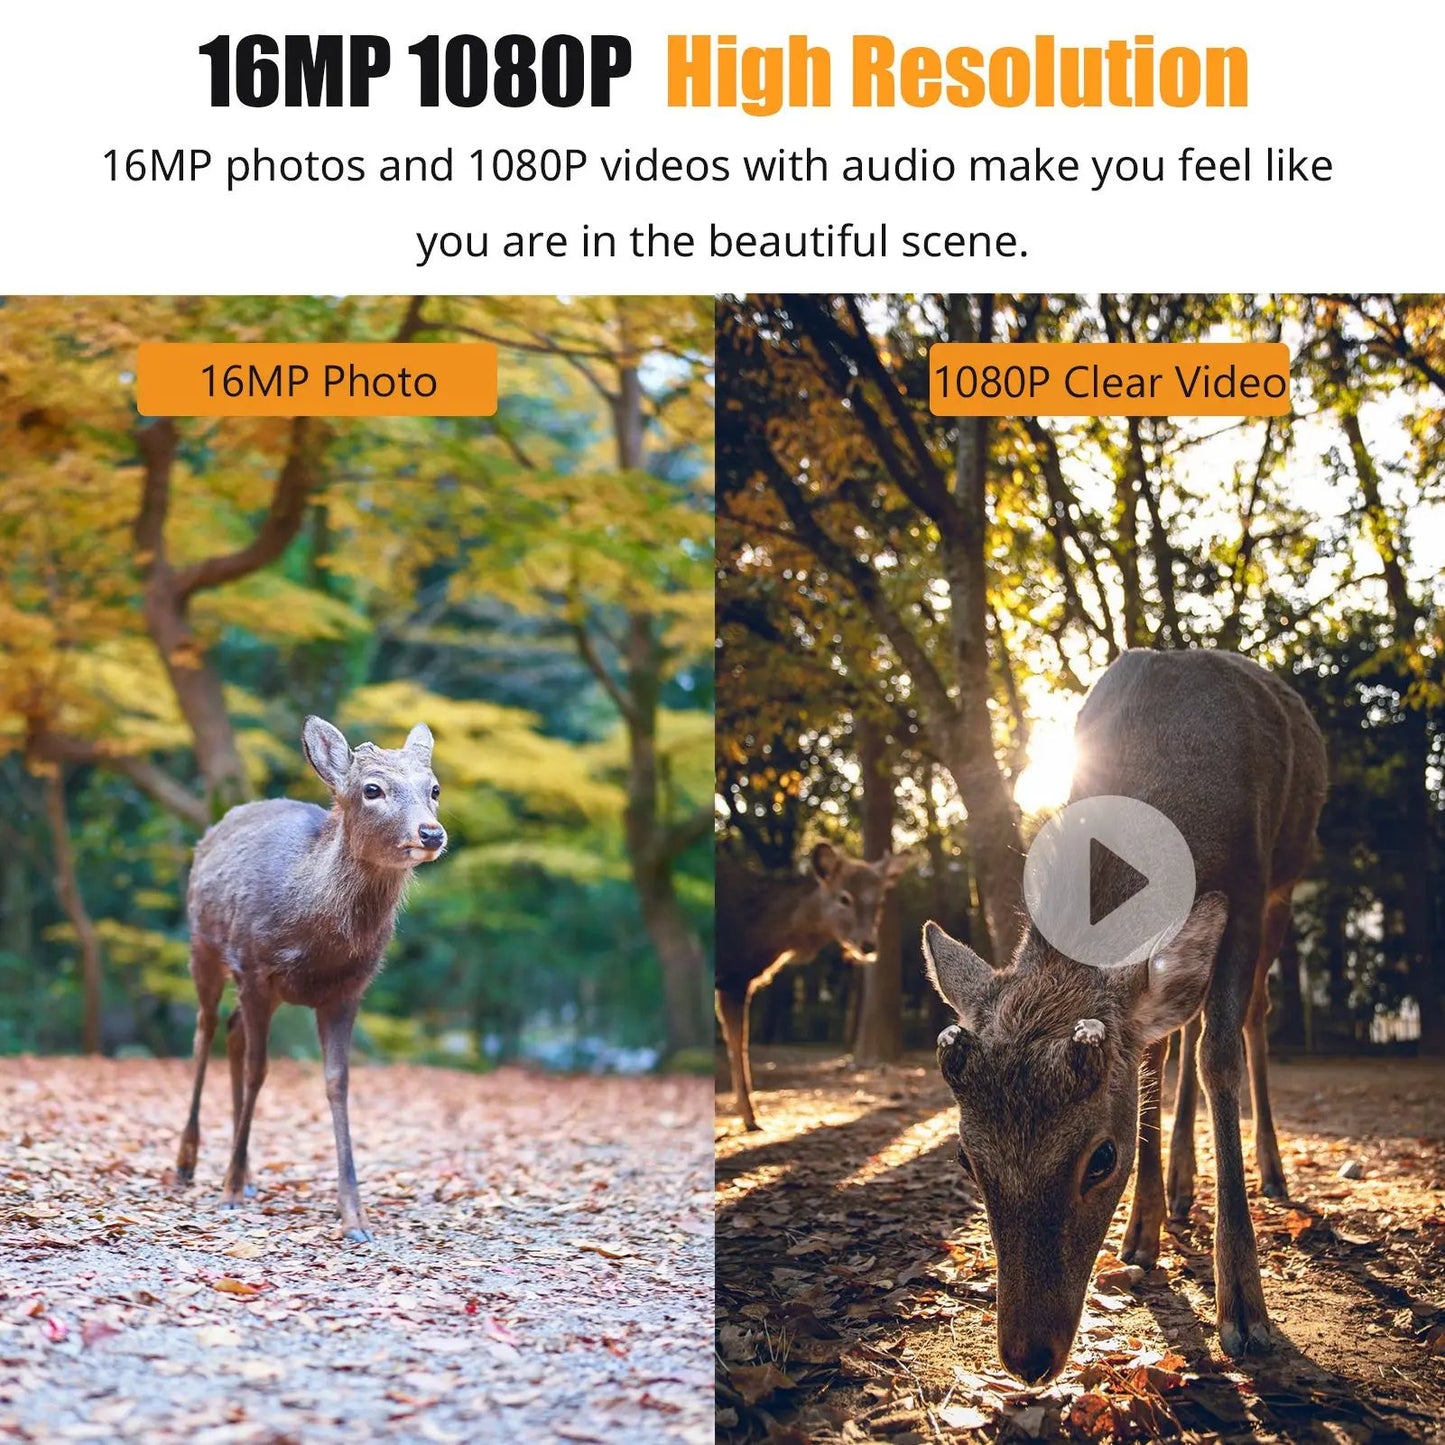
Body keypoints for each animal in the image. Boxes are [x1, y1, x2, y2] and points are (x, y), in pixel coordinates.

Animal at [174, 716, 446, 1243]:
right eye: (372, 789)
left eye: (434, 788)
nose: (431, 832)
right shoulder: (255, 968)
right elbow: (259, 1071)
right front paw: (228, 1192)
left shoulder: (347, 991)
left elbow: (337, 1082)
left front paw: (355, 1216)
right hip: (205, 946)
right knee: (204, 1031)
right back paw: (188, 1163)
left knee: (232, 1032)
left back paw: (247, 1173)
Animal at [716, 843, 915, 1130]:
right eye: (844, 898)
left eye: (879, 902)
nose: (868, 945)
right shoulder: (733, 978)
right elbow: (738, 1044)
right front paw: (750, 1118)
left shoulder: (735, 980)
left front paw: (749, 1117)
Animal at [922, 649, 1326, 1383]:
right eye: (966, 1157)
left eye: (1101, 1157)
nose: (1027, 1355)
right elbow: (1152, 1057)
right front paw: (1142, 1235)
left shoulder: (1251, 883)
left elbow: (1219, 1053)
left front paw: (1244, 1309)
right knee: (1177, 1031)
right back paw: (1174, 1193)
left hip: (1288, 879)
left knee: (1247, 1018)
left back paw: (1272, 1171)